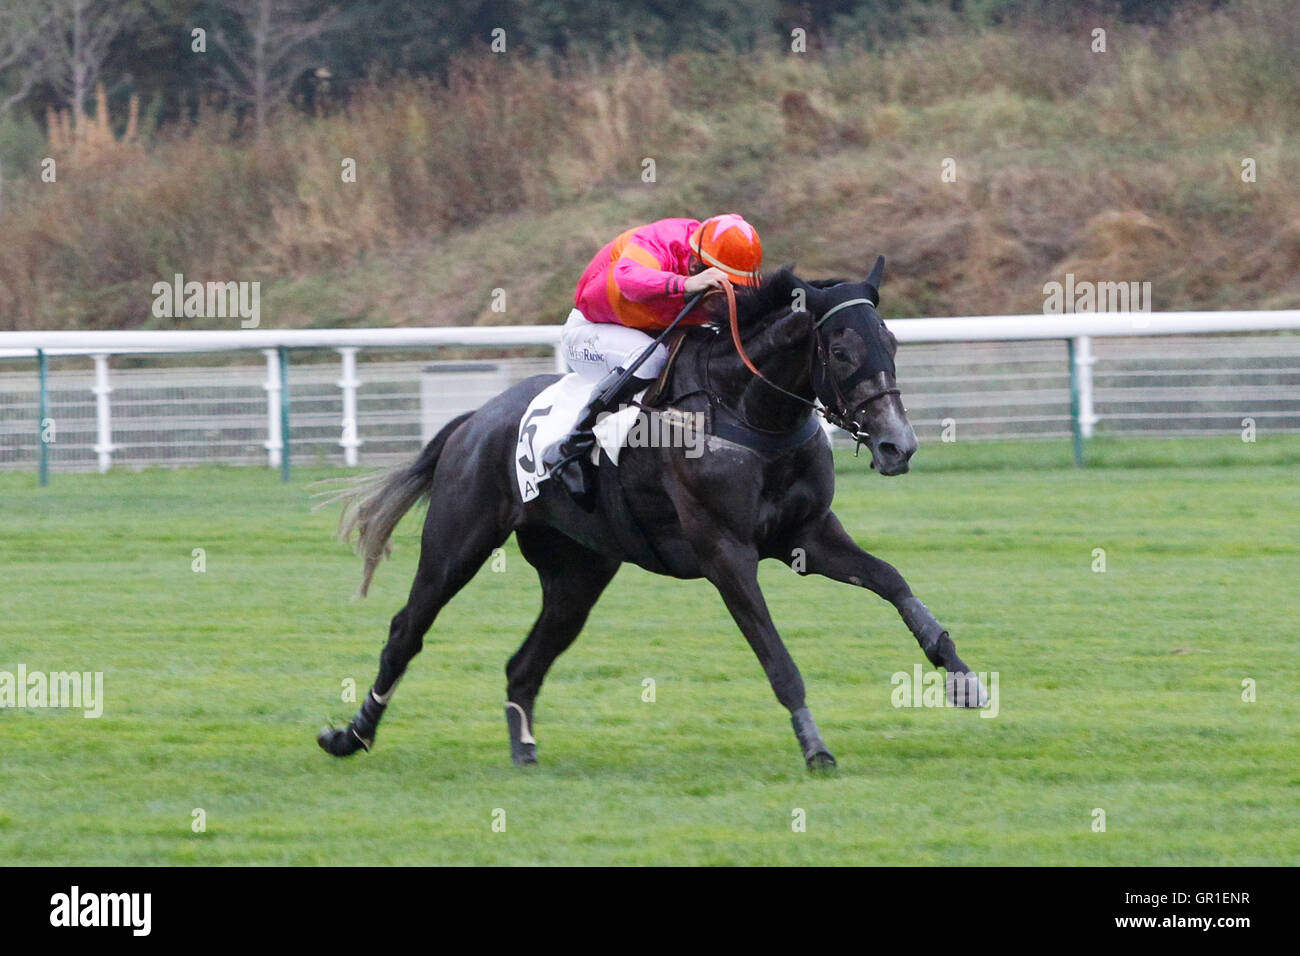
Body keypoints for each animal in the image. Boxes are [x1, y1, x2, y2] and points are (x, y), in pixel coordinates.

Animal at [314, 260, 982, 770]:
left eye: (891, 342)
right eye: (840, 350)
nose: (898, 445)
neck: (745, 408)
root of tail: (473, 421)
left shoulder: (805, 534)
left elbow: (892, 580)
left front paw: (958, 672)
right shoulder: (725, 553)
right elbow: (778, 658)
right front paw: (815, 748)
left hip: (578, 573)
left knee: (525, 663)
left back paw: (523, 749)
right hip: (459, 540)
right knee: (407, 630)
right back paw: (351, 734)